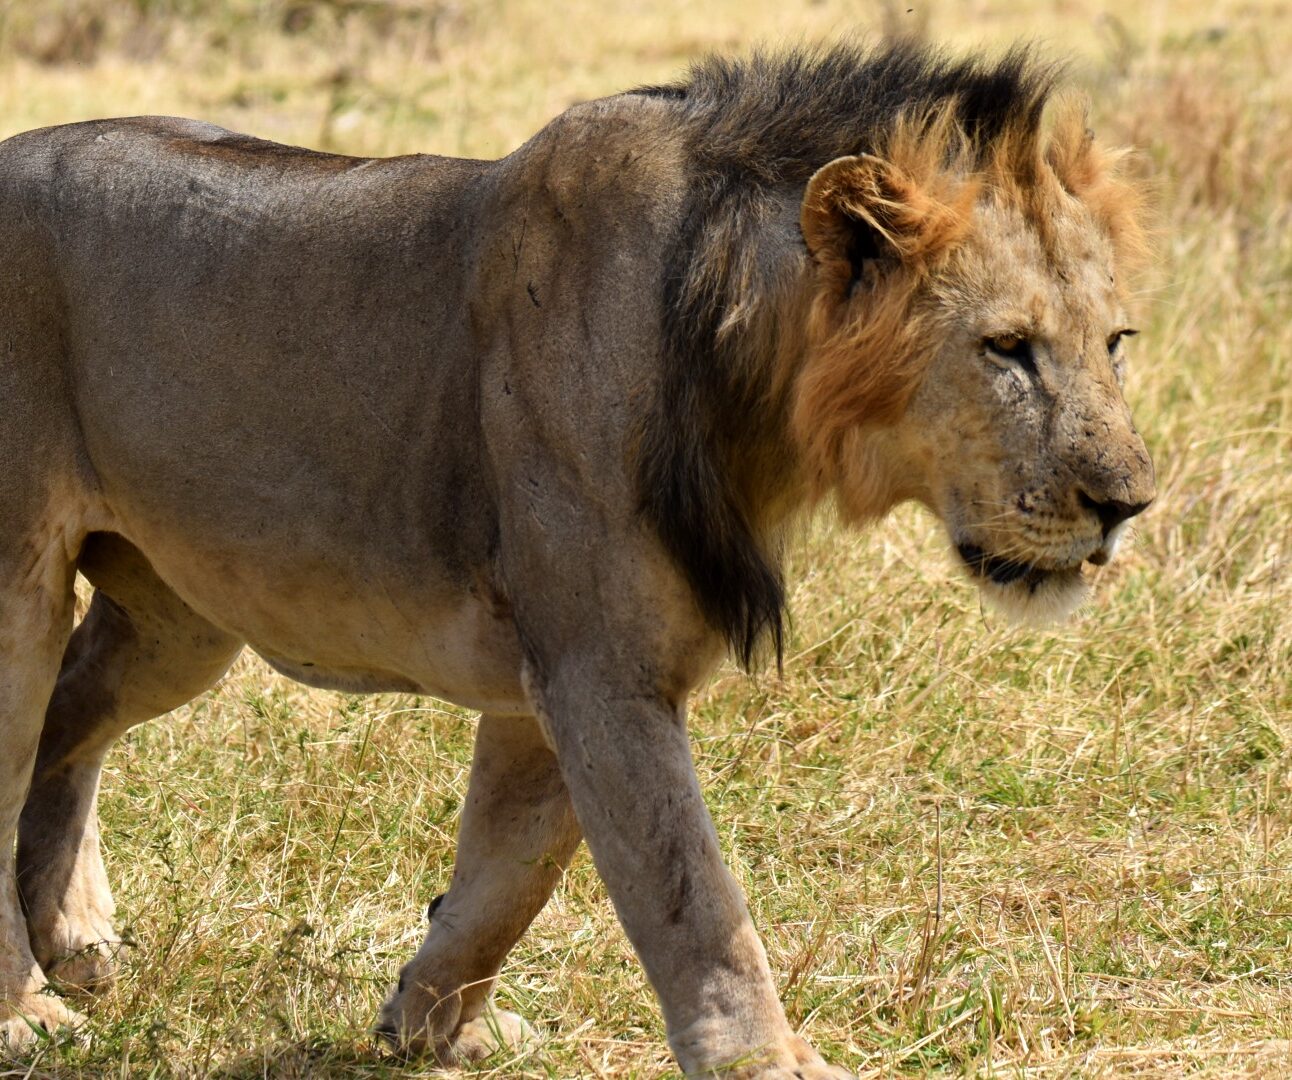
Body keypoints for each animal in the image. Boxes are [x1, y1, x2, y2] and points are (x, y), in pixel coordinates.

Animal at [0, 42, 1153, 1077]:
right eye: (1004, 348)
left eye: (1114, 342)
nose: (1128, 504)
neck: (748, 390)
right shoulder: (599, 671)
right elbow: (688, 894)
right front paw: (766, 1059)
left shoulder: (559, 681)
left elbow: (508, 873)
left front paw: (434, 1028)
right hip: (19, 586)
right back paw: (26, 1013)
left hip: (180, 615)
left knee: (69, 716)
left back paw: (73, 936)